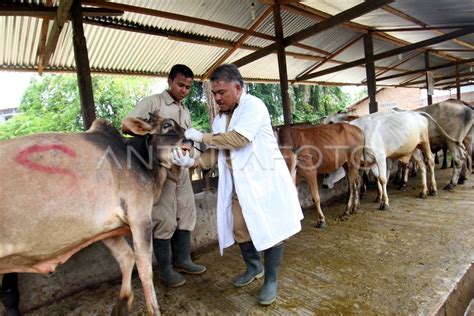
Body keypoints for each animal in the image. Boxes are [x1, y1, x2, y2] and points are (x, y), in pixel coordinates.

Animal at [0, 112, 189, 314]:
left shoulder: (107, 229)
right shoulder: (140, 218)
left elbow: (126, 257)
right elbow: (144, 267)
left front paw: (122, 304)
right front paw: (154, 310)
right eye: (167, 125)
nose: (190, 141)